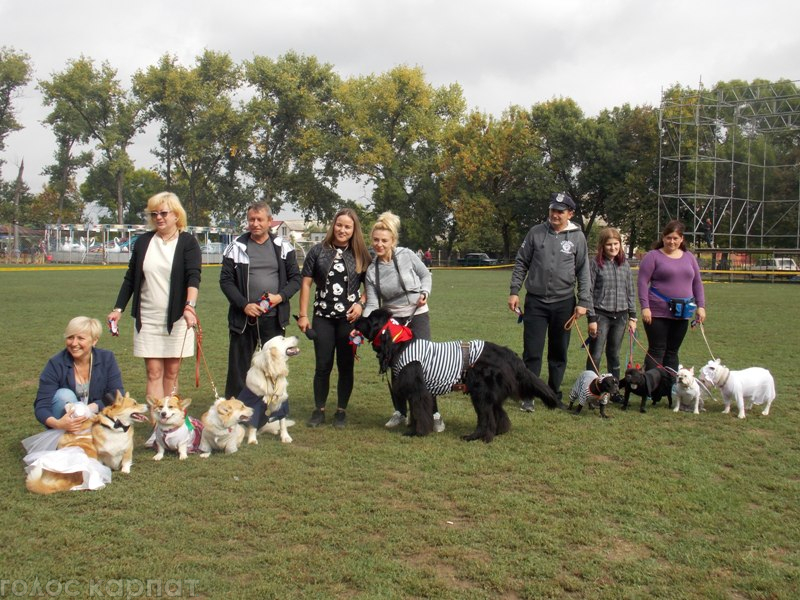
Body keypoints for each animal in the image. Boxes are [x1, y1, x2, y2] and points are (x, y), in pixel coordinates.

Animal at [354, 310, 560, 440]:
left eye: (369, 318)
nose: (355, 318)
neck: (400, 344)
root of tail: (509, 354)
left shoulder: (418, 391)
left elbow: (419, 412)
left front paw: (417, 432)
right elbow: (414, 412)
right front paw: (413, 429)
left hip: (481, 393)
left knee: (487, 419)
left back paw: (478, 437)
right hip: (490, 394)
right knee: (499, 414)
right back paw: (499, 432)